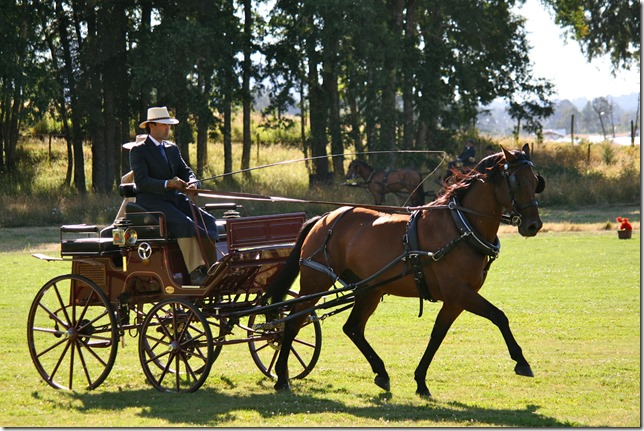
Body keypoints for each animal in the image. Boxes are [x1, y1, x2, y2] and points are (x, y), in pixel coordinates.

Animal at [264, 144, 544, 398]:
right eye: (516, 181)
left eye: (536, 181)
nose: (533, 225)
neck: (461, 227)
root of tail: (323, 218)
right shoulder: (460, 293)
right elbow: (499, 316)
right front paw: (522, 361)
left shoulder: (455, 300)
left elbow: (437, 335)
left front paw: (420, 381)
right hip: (316, 281)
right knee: (293, 323)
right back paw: (282, 377)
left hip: (369, 289)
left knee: (352, 328)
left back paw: (381, 373)